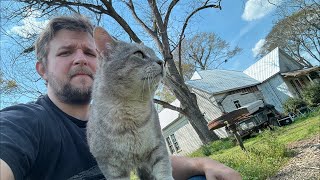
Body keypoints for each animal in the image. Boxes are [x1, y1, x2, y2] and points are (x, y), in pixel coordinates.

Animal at [86, 27, 174, 180]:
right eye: (139, 54)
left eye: (153, 53)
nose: (162, 61)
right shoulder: (111, 167)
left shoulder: (158, 146)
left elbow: (164, 171)